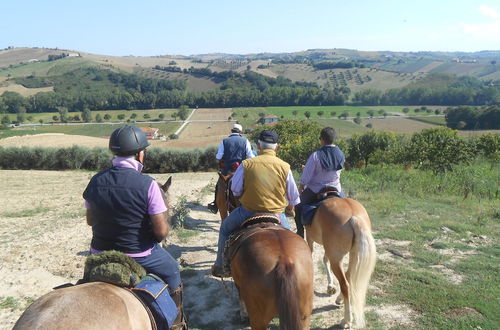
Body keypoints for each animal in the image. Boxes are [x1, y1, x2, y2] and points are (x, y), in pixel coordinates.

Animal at [304, 197, 376, 328]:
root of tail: (354, 216)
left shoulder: (309, 237)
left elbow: (312, 256)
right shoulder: (328, 248)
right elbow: (325, 259)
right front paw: (330, 286)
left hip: (337, 259)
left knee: (345, 284)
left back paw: (346, 320)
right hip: (352, 255)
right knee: (348, 276)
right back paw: (339, 299)